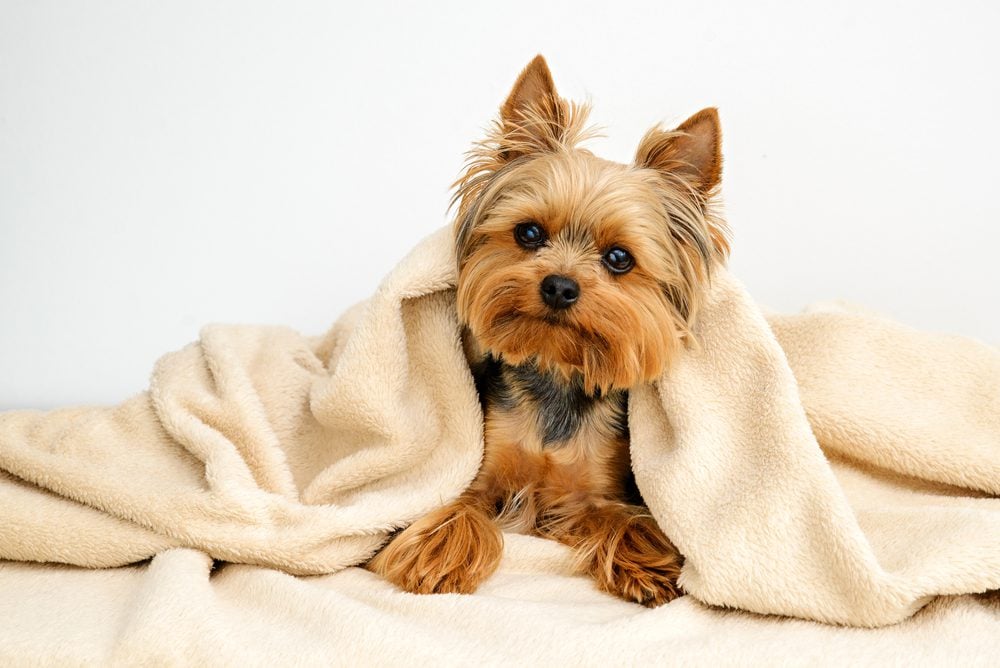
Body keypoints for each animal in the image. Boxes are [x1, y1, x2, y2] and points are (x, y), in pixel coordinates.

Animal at [368, 54, 728, 604]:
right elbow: (459, 505)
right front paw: (437, 553)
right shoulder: (481, 470)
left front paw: (648, 566)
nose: (559, 286)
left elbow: (620, 518)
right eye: (529, 233)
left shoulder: (595, 489)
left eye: (619, 258)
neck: (556, 371)